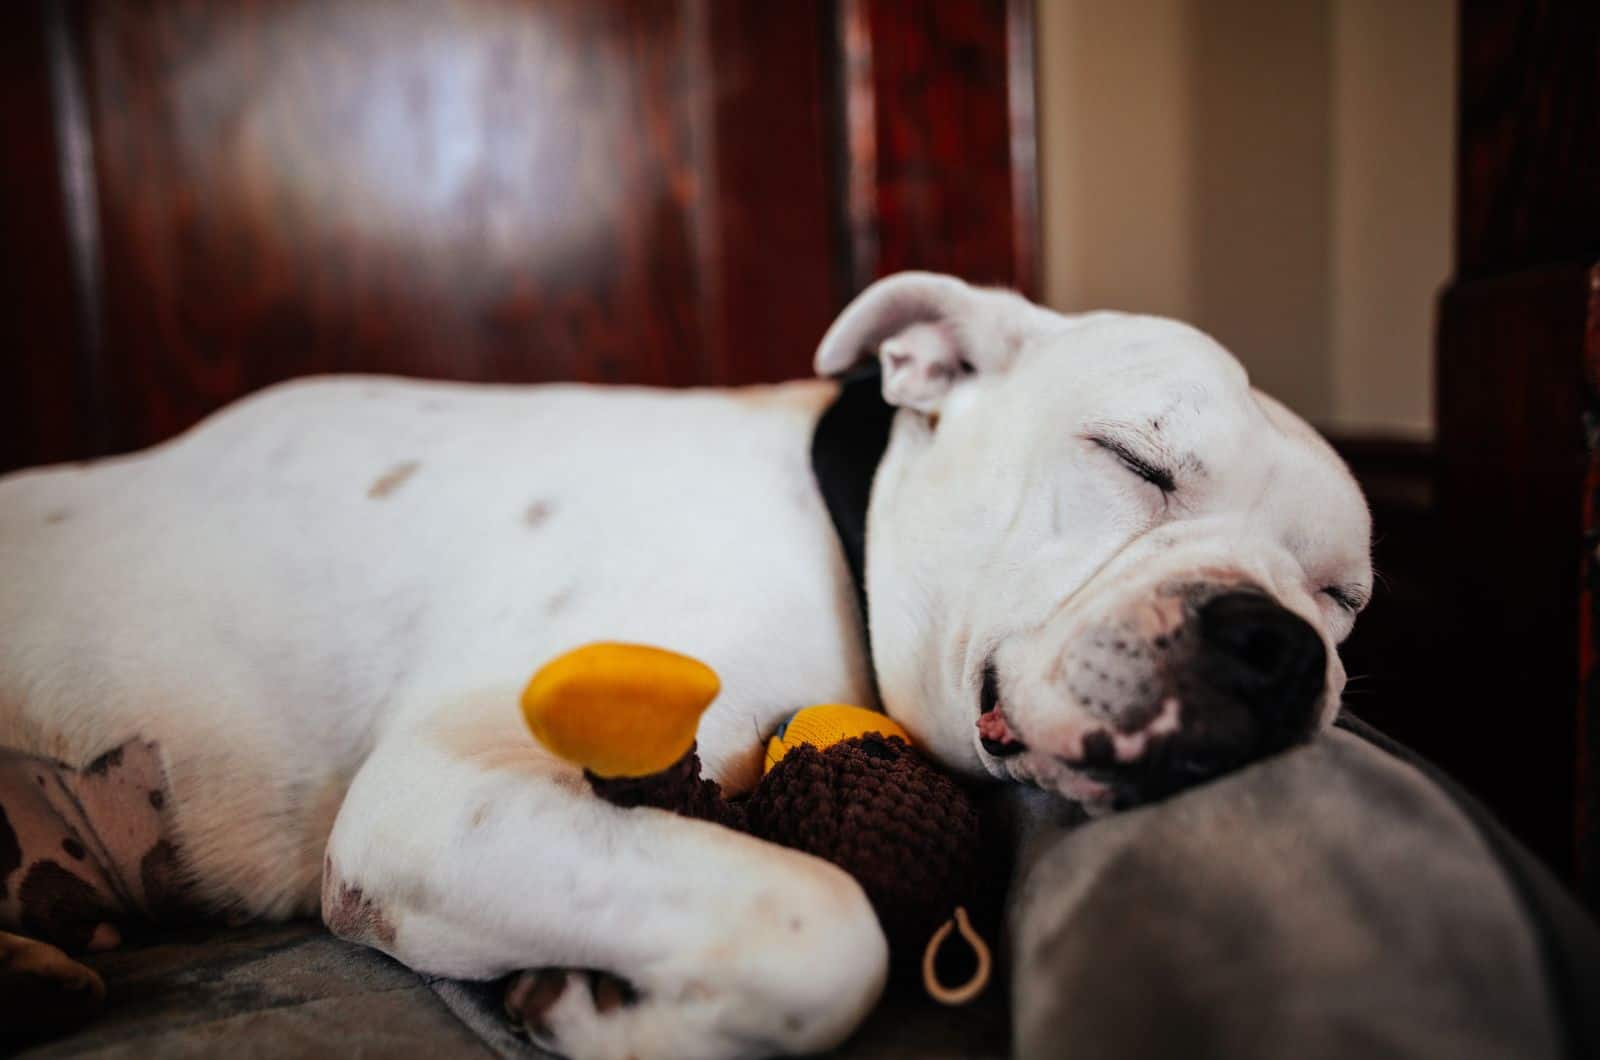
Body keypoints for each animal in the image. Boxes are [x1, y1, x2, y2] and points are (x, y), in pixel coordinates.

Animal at [3, 273, 1376, 1056]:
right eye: (1132, 460)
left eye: (1342, 598)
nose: (1274, 641)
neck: (839, 525)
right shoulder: (440, 796)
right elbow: (822, 926)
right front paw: (595, 1014)